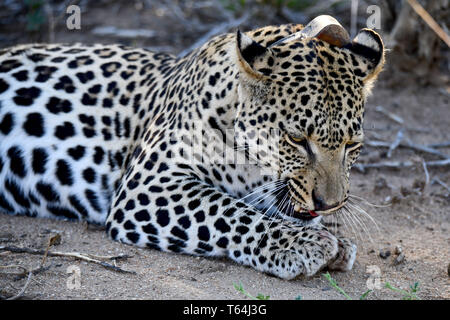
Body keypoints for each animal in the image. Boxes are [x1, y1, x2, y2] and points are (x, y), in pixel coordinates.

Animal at [0, 16, 386, 278]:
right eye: (296, 139)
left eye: (352, 145)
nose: (330, 204)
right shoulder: (148, 183)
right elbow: (228, 211)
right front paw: (301, 243)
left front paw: (330, 237)